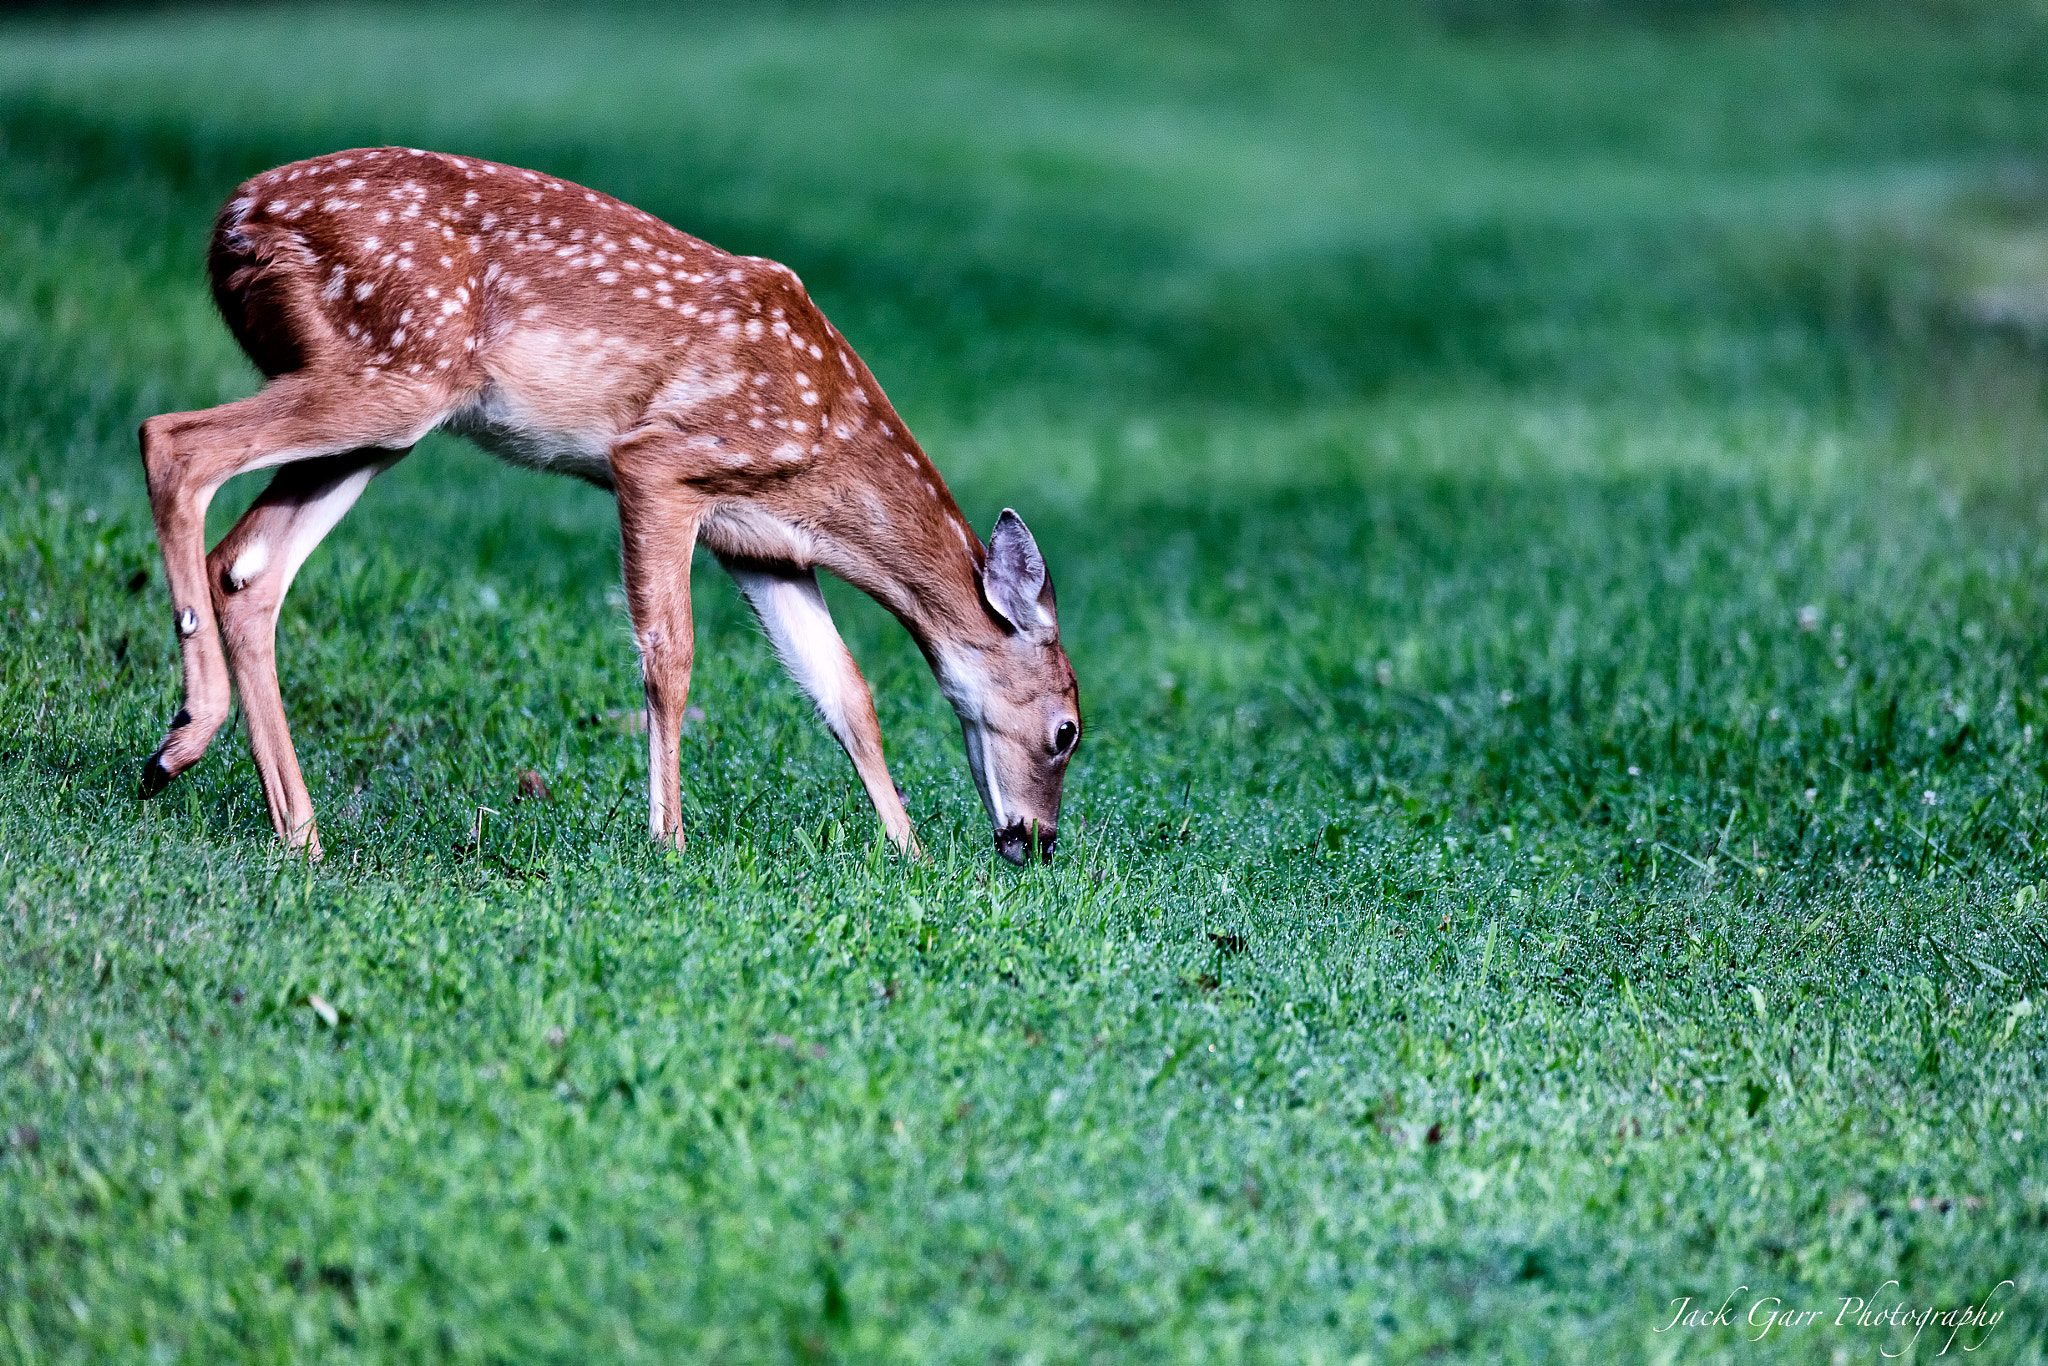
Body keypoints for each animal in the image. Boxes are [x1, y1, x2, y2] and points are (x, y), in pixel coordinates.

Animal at [135, 148, 1081, 865]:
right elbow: (672, 657)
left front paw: (910, 854)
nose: (1035, 843)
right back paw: (183, 739)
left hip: (386, 412)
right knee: (171, 440)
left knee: (248, 568)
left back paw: (297, 833)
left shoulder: (765, 546)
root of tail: (234, 219)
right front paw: (670, 842)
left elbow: (848, 694)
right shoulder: (661, 462)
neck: (824, 443)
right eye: (1067, 731)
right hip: (393, 370)